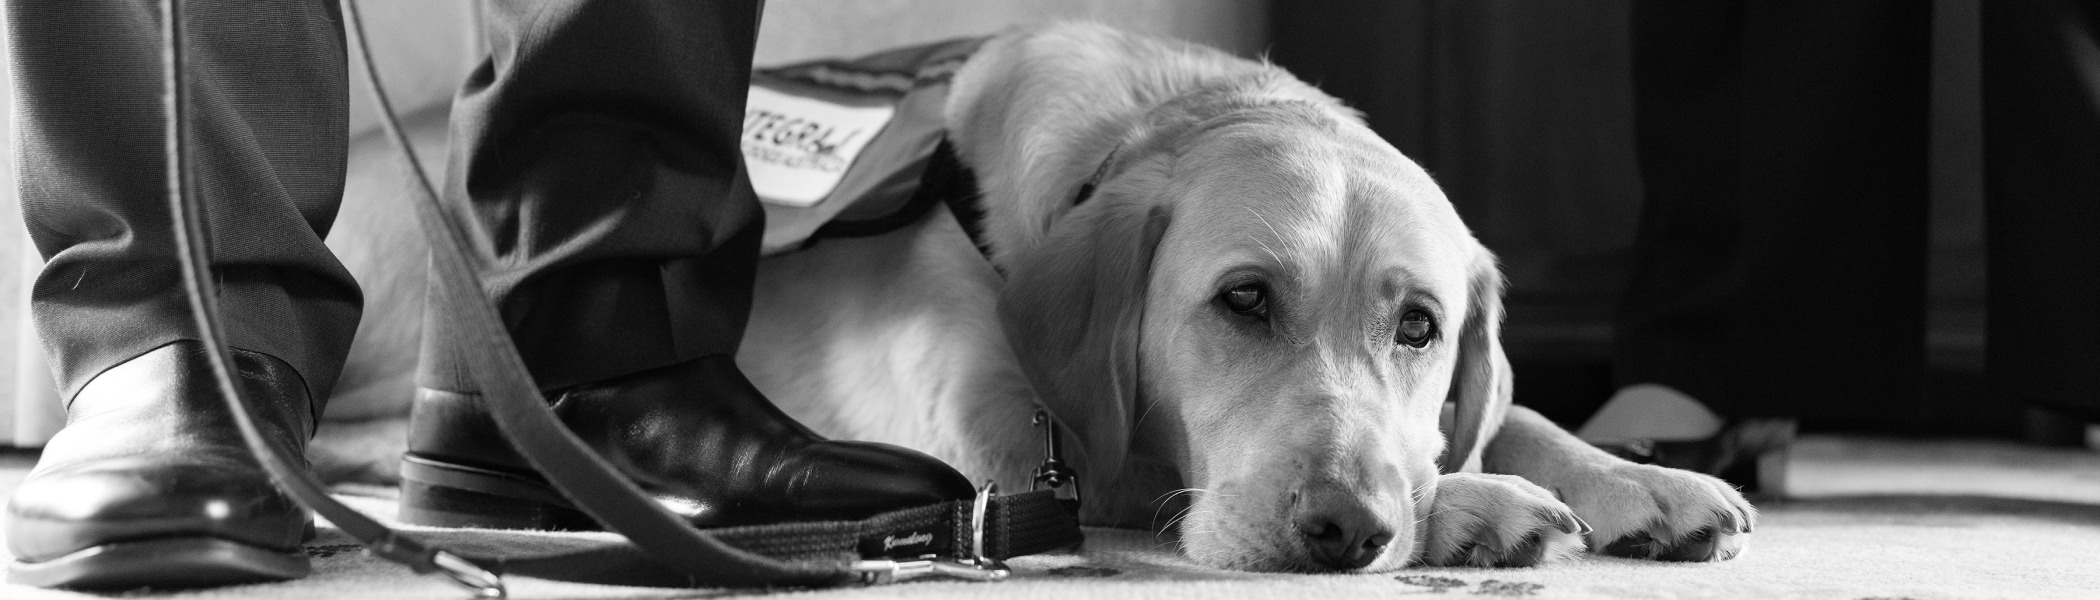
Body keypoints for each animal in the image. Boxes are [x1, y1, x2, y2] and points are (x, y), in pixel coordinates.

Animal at [315, 23, 1755, 574]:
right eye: (1243, 300)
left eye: (1421, 327)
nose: (1345, 526)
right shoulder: (1025, 447)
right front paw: (1472, 505)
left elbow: (1508, 413)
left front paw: (1638, 476)